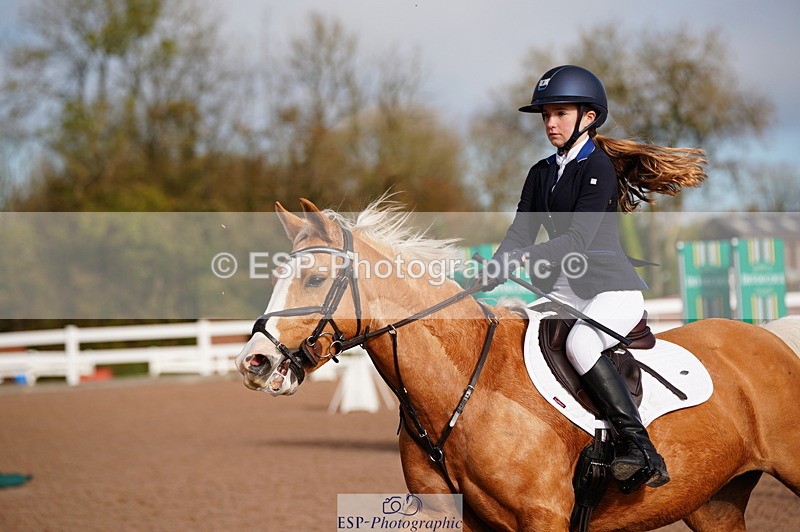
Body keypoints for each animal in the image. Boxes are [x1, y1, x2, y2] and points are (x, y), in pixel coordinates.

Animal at [235, 197, 800, 531]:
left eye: (314, 278)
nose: (254, 361)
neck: (462, 388)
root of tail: (769, 337)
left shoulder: (542, 518)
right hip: (714, 502)